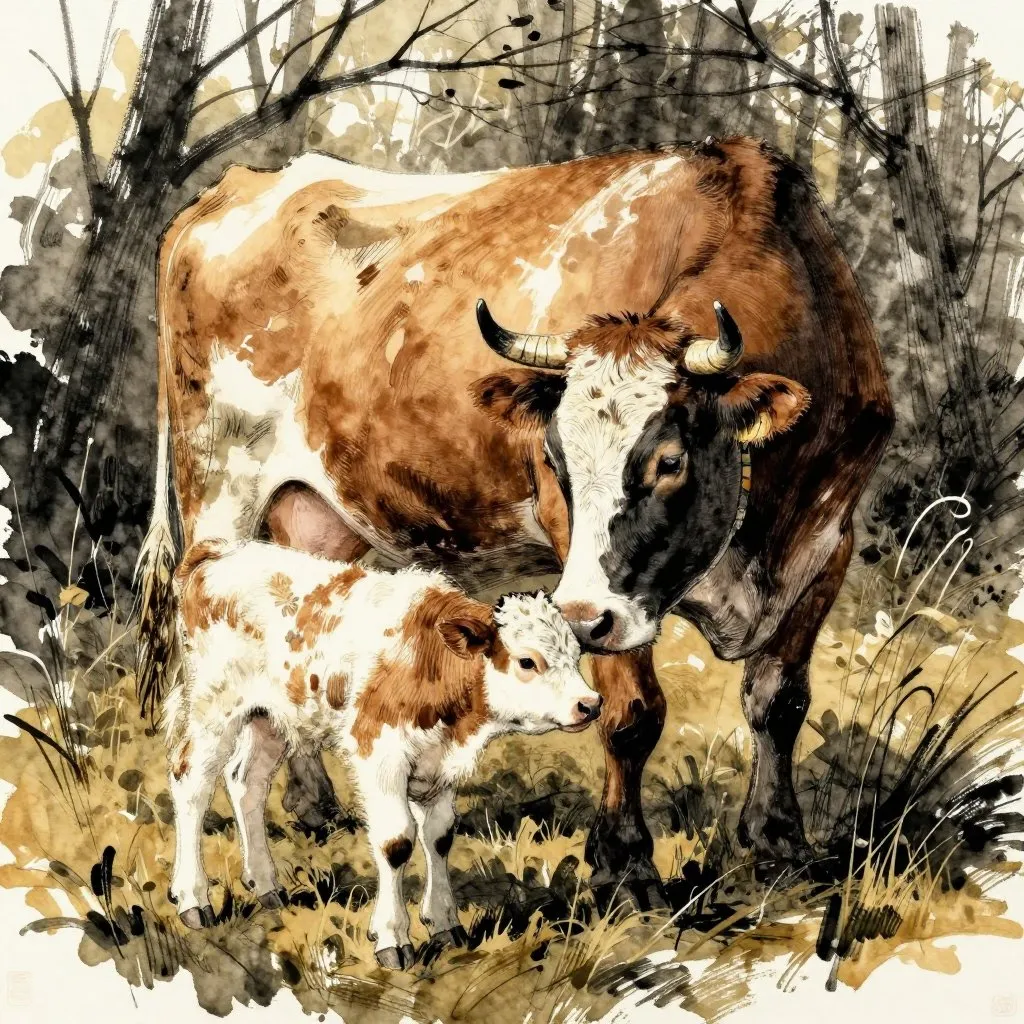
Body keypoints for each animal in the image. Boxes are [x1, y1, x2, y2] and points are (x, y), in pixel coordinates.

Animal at [137, 136, 893, 908]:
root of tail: (235, 189)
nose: (583, 618)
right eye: (554, 460)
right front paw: (625, 863)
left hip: (315, 521)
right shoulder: (593, 583)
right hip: (219, 495)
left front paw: (779, 842)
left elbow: (780, 701)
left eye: (671, 460)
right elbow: (632, 714)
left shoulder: (827, 542)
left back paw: (314, 805)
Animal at [165, 538, 596, 967]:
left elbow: (440, 836)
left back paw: (266, 885)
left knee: (246, 783)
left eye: (575, 656)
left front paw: (445, 924)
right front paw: (393, 938)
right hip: (213, 706)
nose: (590, 704)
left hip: (269, 717)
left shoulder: (438, 765)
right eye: (527, 661)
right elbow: (396, 842)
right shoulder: (381, 754)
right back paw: (193, 899)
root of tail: (220, 551)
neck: (431, 662)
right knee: (191, 782)